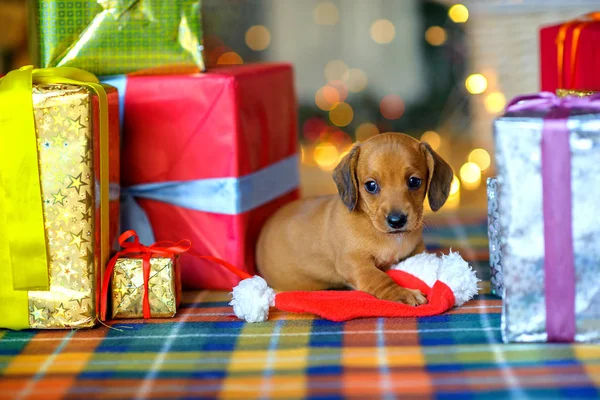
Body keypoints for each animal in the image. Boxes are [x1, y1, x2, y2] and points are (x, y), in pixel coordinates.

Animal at [255, 133, 452, 304]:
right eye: (371, 185)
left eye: (414, 181)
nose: (397, 221)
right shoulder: (355, 263)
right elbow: (379, 278)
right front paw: (402, 293)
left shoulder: (417, 250)